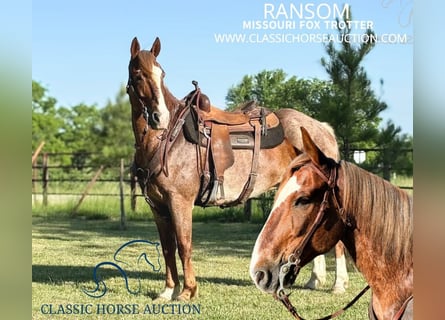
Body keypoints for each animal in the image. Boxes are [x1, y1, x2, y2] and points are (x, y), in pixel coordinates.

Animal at [125, 36, 346, 302]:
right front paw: (168, 291)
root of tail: (321, 128)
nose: (160, 117)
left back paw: (338, 284)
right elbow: (168, 247)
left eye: (162, 74)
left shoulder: (180, 202)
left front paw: (188, 291)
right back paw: (314, 280)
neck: (168, 137)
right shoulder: (158, 206)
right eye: (138, 74)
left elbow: (183, 245)